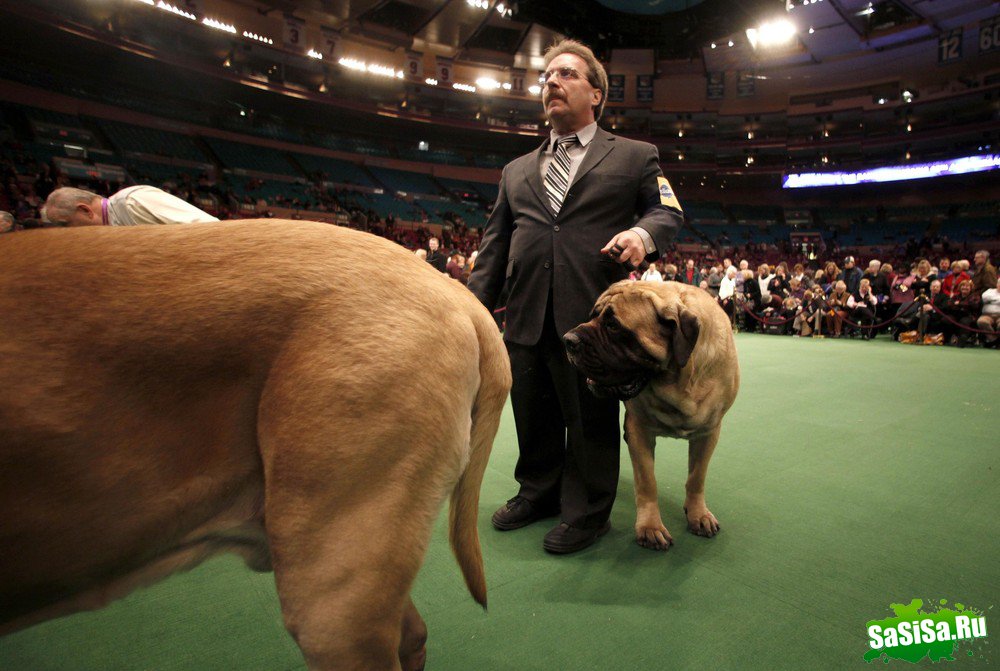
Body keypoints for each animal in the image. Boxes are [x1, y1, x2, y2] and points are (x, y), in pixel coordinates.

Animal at [568, 282, 740, 552]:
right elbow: (647, 481)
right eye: (592, 316)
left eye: (613, 326)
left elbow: (697, 476)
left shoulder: (709, 432)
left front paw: (698, 514)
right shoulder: (639, 430)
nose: (568, 340)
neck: (678, 383)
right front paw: (650, 527)